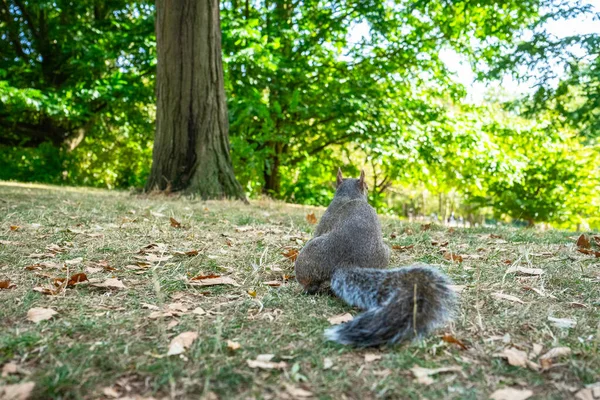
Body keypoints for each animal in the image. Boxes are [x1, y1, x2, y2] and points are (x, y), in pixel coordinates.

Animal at [294, 169, 454, 346]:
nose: (368, 190)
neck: (349, 195)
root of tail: (347, 263)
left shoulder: (324, 222)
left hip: (306, 258)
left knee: (310, 285)